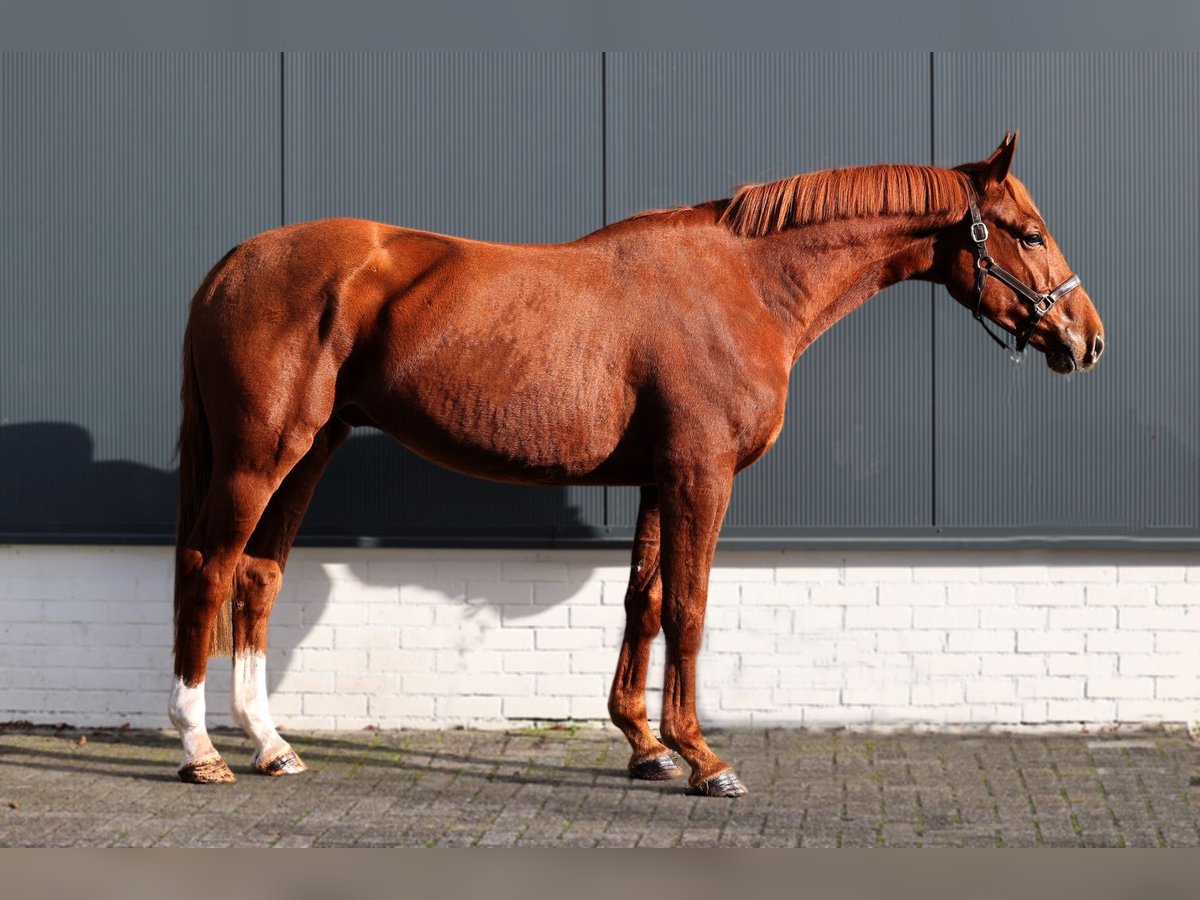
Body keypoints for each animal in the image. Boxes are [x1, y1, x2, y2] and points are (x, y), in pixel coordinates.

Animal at [169, 133, 1104, 796]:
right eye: (1028, 233)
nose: (1086, 338)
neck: (746, 284)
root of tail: (230, 266)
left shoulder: (662, 477)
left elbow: (643, 602)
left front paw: (645, 746)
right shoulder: (702, 475)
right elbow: (688, 608)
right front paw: (703, 758)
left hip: (310, 451)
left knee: (257, 577)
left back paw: (272, 746)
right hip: (261, 455)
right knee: (209, 568)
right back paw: (200, 748)